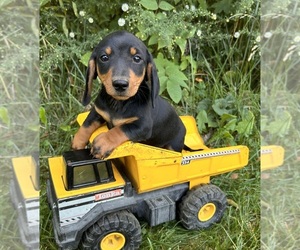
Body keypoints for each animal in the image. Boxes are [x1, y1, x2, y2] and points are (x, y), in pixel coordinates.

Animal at [72, 30, 185, 158]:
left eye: (137, 58)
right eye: (104, 57)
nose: (120, 84)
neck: (119, 103)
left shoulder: (142, 126)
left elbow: (120, 129)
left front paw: (103, 142)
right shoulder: (98, 111)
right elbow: (87, 124)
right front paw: (78, 141)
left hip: (174, 144)